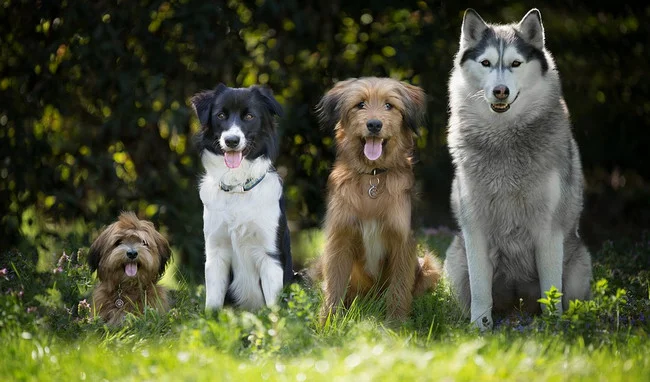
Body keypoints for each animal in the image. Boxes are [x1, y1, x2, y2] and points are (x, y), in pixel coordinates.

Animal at [312, 77, 442, 322]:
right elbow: (334, 287)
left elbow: (399, 288)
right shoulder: (340, 239)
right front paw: (327, 322)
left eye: (389, 105)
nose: (374, 125)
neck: (372, 176)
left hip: (429, 265)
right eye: (360, 104)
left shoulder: (402, 241)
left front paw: (396, 324)